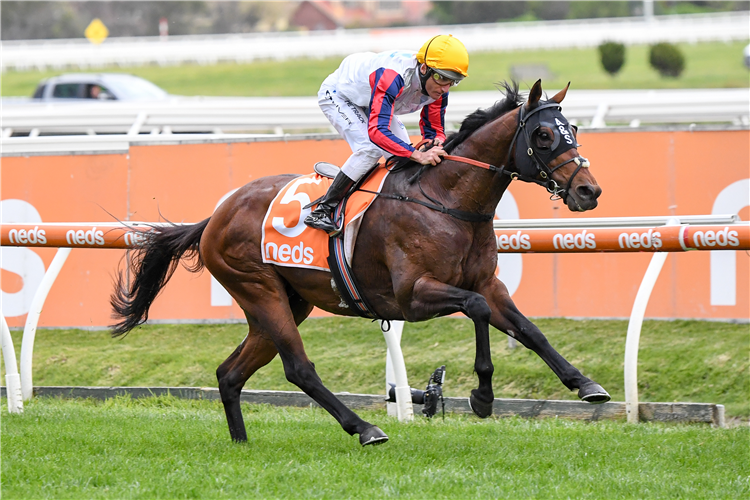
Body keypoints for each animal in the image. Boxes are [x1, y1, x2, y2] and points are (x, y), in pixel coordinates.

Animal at [113, 80, 612, 448]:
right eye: (543, 135)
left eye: (572, 128)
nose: (588, 191)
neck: (448, 201)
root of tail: (216, 215)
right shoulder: (413, 296)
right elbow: (477, 308)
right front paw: (483, 395)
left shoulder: (488, 282)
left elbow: (528, 328)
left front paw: (586, 384)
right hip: (259, 289)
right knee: (299, 368)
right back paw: (365, 428)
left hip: (285, 303)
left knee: (230, 372)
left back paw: (241, 442)